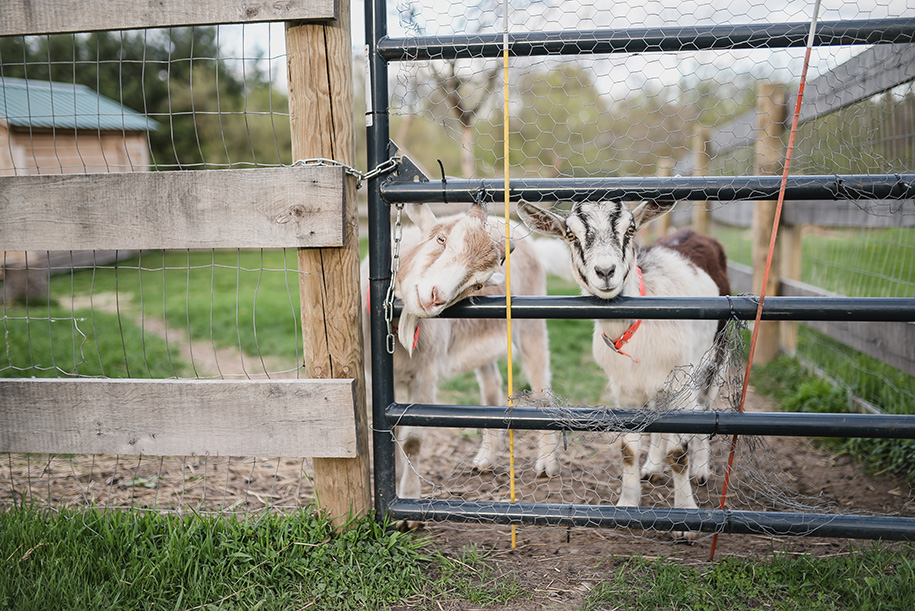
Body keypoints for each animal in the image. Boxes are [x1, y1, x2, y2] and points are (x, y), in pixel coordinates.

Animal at [364, 203, 560, 500]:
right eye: (441, 239)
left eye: (477, 284)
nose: (435, 297)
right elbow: (392, 429)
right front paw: (394, 481)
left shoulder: (425, 374)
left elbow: (412, 440)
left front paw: (408, 496)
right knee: (492, 388)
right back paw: (486, 459)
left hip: (532, 326)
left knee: (540, 387)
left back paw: (546, 464)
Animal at [524, 201, 728, 540]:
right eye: (571, 235)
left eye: (630, 230)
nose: (605, 272)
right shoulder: (626, 390)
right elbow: (628, 449)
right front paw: (627, 504)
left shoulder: (681, 384)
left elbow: (679, 453)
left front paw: (686, 517)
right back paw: (652, 468)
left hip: (715, 356)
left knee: (706, 408)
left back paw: (701, 470)